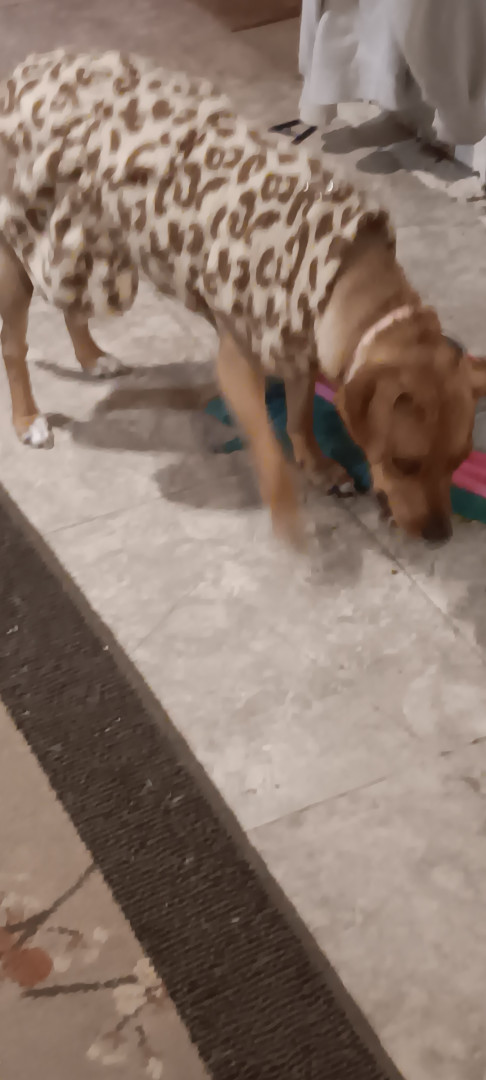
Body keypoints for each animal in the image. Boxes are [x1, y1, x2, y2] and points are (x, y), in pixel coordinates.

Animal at [0, 49, 485, 543]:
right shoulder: (240, 363)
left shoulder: (300, 349)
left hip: (81, 241)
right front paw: (287, 510)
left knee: (70, 304)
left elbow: (299, 417)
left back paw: (91, 357)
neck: (346, 274)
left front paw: (318, 466)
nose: (440, 536)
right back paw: (28, 420)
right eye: (405, 463)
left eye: (458, 462)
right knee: (14, 346)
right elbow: (268, 445)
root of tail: (30, 67)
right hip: (19, 252)